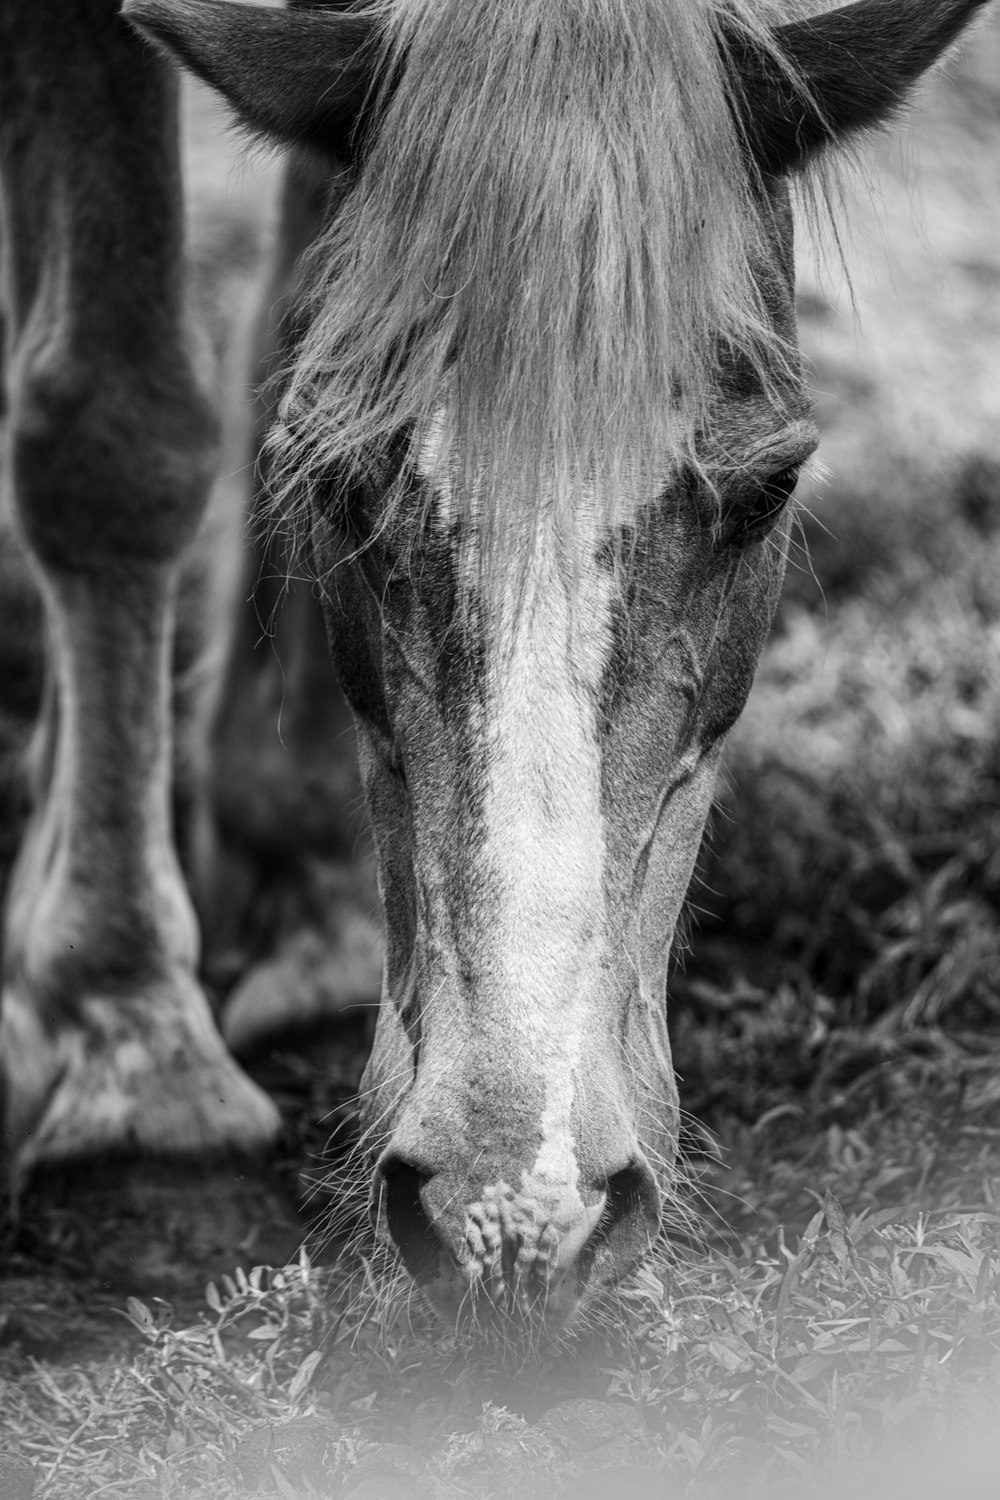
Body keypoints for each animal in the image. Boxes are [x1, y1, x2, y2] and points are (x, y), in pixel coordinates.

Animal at [0, 0, 983, 1338]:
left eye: (771, 489)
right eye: (336, 482)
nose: (516, 1216)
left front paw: (293, 873)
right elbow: (114, 431)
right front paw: (132, 1044)